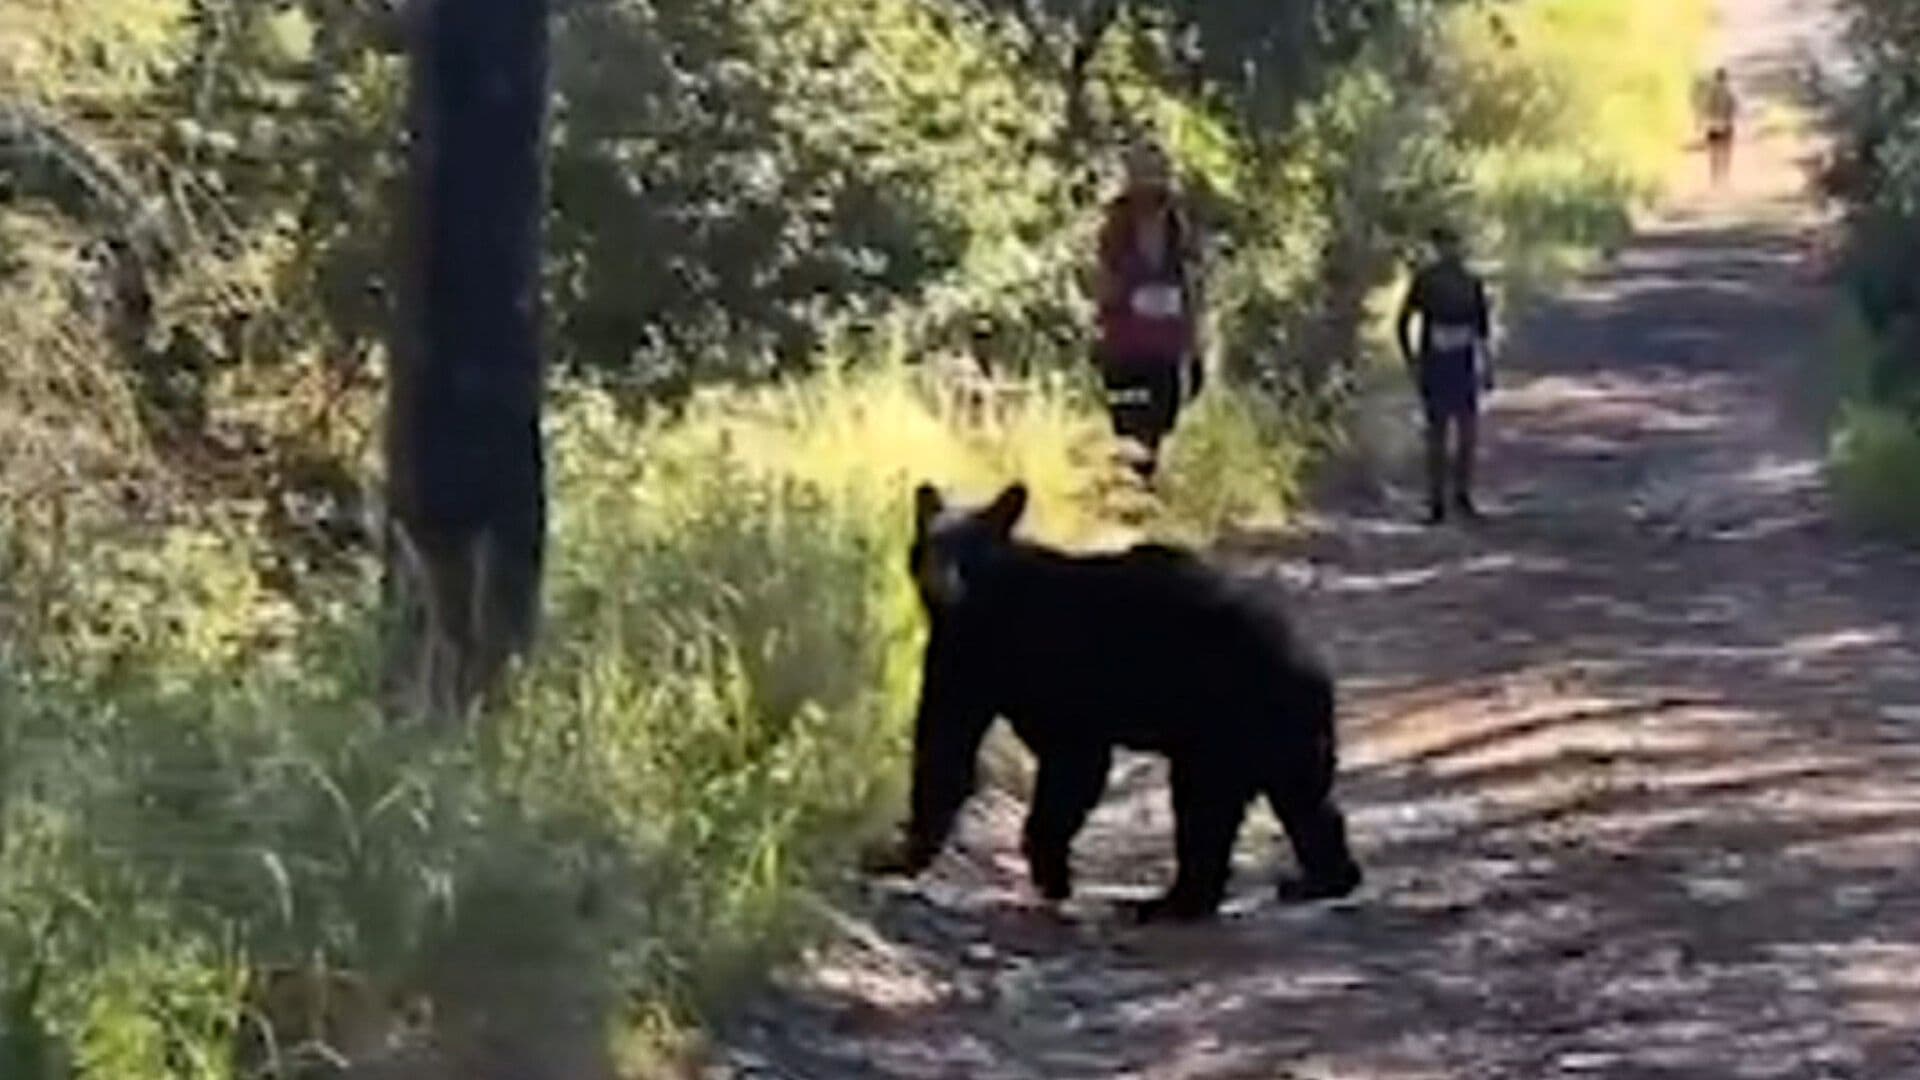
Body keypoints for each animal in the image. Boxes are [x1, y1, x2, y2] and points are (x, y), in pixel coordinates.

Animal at [867, 480, 1363, 922]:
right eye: (931, 547)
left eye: (971, 553)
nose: (942, 585)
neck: (990, 612)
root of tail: (1315, 667)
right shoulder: (962, 658)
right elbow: (945, 742)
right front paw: (900, 854)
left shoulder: (1049, 658)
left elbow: (1073, 760)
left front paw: (1050, 871)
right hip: (1276, 734)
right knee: (1303, 801)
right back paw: (1317, 880)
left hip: (1231, 718)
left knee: (1206, 806)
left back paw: (1171, 903)